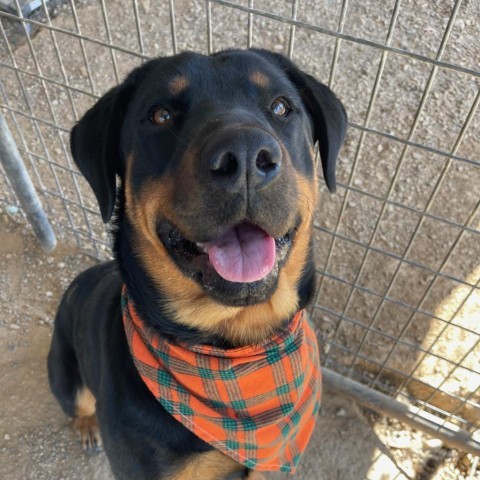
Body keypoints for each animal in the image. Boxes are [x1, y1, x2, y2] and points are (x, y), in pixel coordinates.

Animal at [48, 49, 346, 480]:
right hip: (65, 375)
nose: (244, 155)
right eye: (160, 115)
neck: (234, 348)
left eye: (280, 107)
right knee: (77, 403)